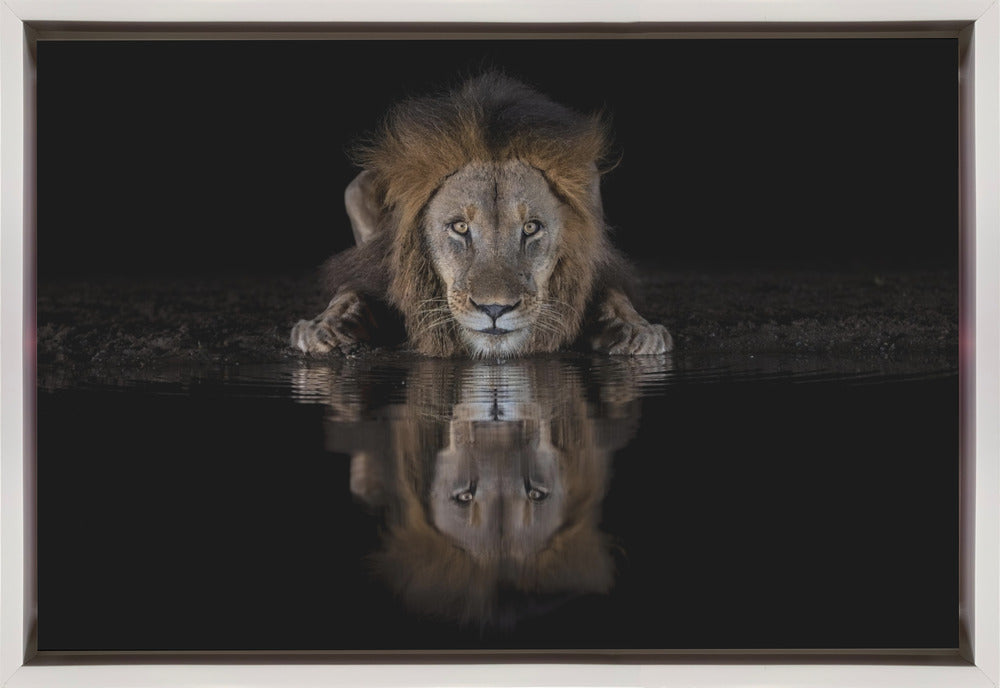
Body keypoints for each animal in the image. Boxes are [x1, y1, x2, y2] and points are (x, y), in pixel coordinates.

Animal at [290, 72, 672, 358]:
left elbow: (613, 295)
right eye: (460, 227)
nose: (495, 310)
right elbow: (351, 289)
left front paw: (637, 330)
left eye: (531, 228)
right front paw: (324, 326)